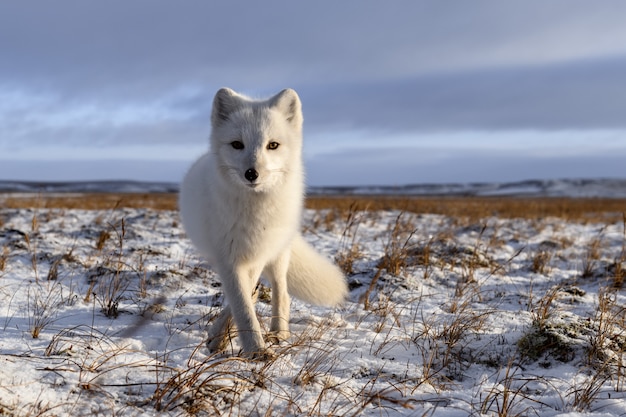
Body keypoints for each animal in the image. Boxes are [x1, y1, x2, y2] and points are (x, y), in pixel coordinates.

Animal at [178, 87, 348, 354]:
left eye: (273, 145)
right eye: (237, 145)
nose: (252, 173)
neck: (255, 212)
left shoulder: (258, 253)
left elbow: (245, 297)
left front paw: (252, 348)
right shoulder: (229, 257)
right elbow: (241, 303)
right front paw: (253, 349)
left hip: (278, 254)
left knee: (281, 291)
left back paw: (280, 332)